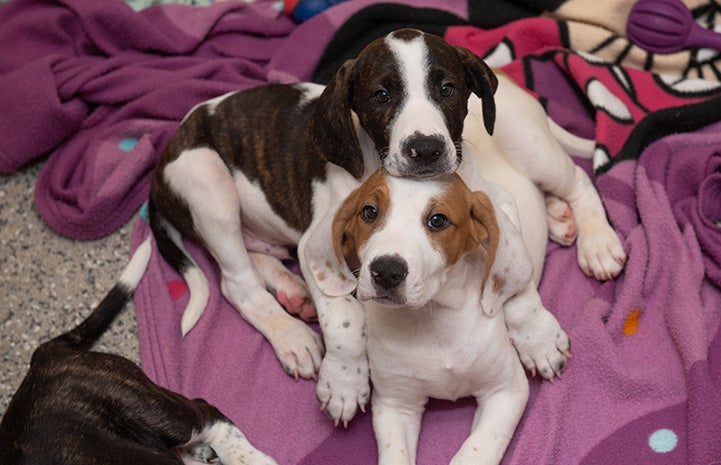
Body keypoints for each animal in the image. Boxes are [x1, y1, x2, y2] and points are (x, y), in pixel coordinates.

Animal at [330, 169, 532, 462]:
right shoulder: (395, 404)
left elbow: (476, 450)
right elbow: (396, 456)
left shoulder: (506, 389)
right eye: (369, 212)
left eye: (437, 220)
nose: (386, 272)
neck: (430, 320)